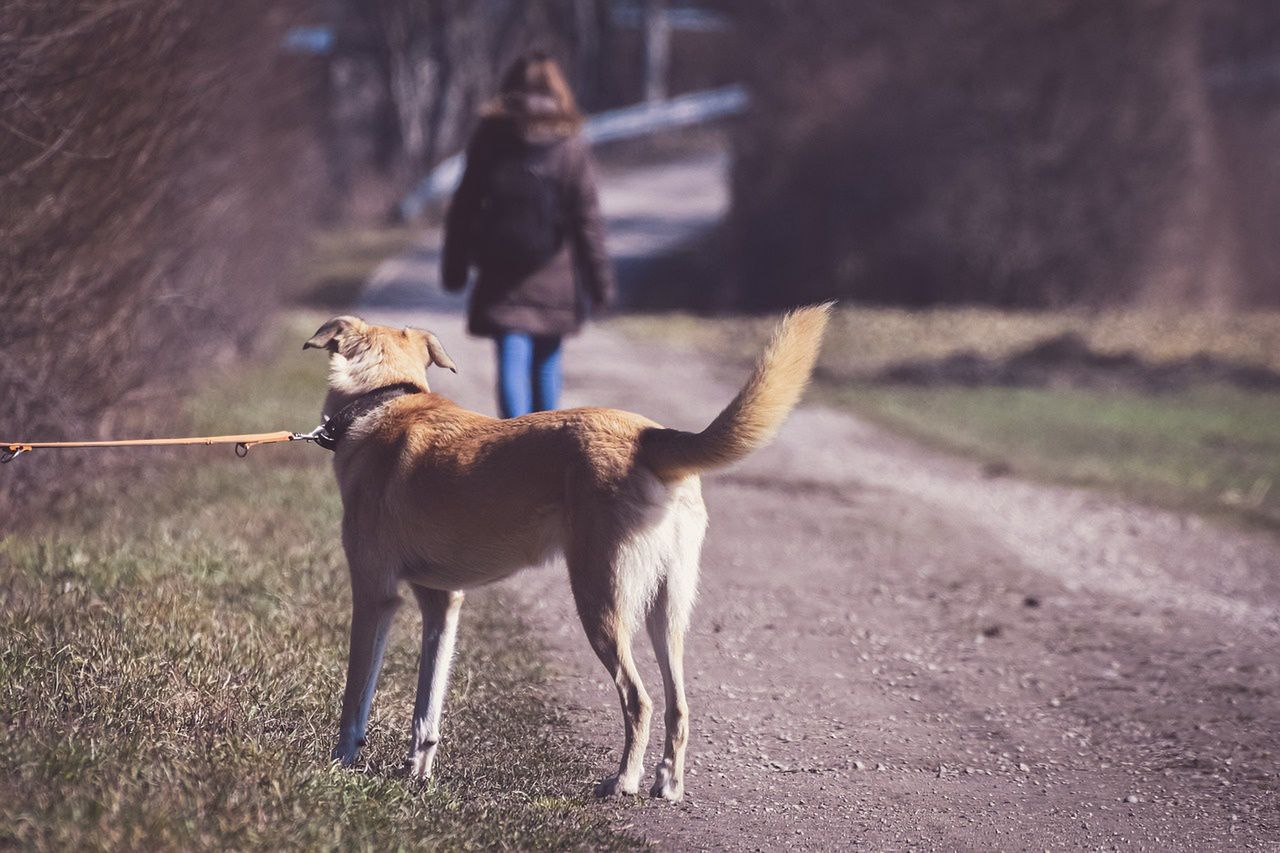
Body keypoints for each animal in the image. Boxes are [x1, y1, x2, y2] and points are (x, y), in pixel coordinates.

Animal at [305, 306, 834, 799]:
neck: (384, 400)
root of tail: (648, 437)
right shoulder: (443, 602)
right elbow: (427, 706)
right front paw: (417, 772)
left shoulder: (375, 595)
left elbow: (356, 696)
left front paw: (339, 764)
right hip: (667, 610)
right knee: (678, 704)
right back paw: (667, 783)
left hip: (601, 600)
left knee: (639, 699)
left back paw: (623, 781)